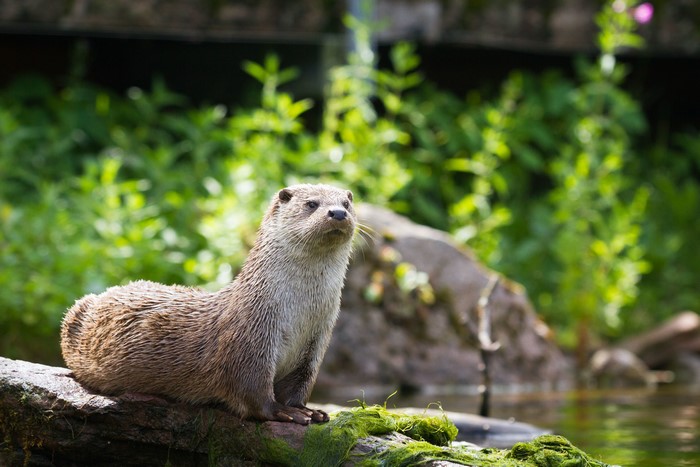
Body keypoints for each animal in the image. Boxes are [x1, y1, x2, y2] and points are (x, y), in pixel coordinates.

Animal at [60, 184, 356, 425]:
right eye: (312, 204)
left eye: (346, 203)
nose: (337, 213)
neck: (299, 314)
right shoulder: (250, 336)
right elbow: (252, 390)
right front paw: (284, 412)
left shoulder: (316, 343)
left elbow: (300, 384)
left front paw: (309, 410)